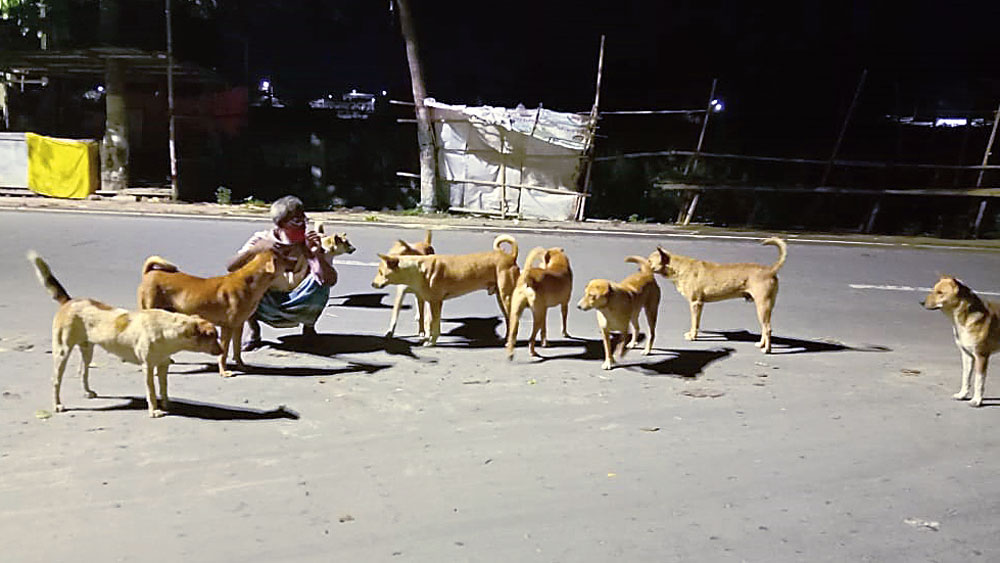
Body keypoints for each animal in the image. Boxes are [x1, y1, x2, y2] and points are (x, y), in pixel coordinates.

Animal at [27, 252, 223, 418]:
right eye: (212, 335)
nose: (222, 351)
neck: (166, 329)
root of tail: (69, 301)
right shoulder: (148, 367)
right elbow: (152, 391)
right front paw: (154, 410)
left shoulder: (163, 365)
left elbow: (164, 388)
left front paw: (167, 404)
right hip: (62, 352)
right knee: (56, 380)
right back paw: (58, 405)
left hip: (87, 349)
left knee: (82, 371)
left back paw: (87, 392)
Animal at [136, 249, 290, 376]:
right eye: (283, 257)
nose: (294, 260)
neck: (249, 283)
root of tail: (149, 273)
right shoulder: (227, 327)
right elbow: (224, 352)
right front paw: (224, 371)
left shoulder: (238, 326)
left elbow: (237, 349)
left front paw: (241, 366)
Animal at [372, 232, 520, 346]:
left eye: (380, 272)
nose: (373, 284)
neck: (418, 268)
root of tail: (511, 257)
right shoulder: (432, 302)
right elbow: (430, 323)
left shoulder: (435, 302)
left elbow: (434, 325)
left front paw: (431, 342)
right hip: (501, 298)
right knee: (509, 320)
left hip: (505, 297)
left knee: (513, 320)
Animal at [648, 237, 788, 352]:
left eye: (649, 261)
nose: (642, 267)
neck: (678, 267)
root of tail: (770, 270)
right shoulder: (700, 304)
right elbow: (697, 322)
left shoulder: (695, 303)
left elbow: (694, 322)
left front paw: (692, 336)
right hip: (765, 308)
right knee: (764, 328)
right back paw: (761, 344)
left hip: (762, 306)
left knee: (768, 329)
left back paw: (767, 349)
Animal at [920, 276, 1000, 408]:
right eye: (933, 290)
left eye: (940, 292)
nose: (921, 302)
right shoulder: (967, 355)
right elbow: (966, 377)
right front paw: (962, 395)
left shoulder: (981, 356)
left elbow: (979, 381)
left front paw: (976, 401)